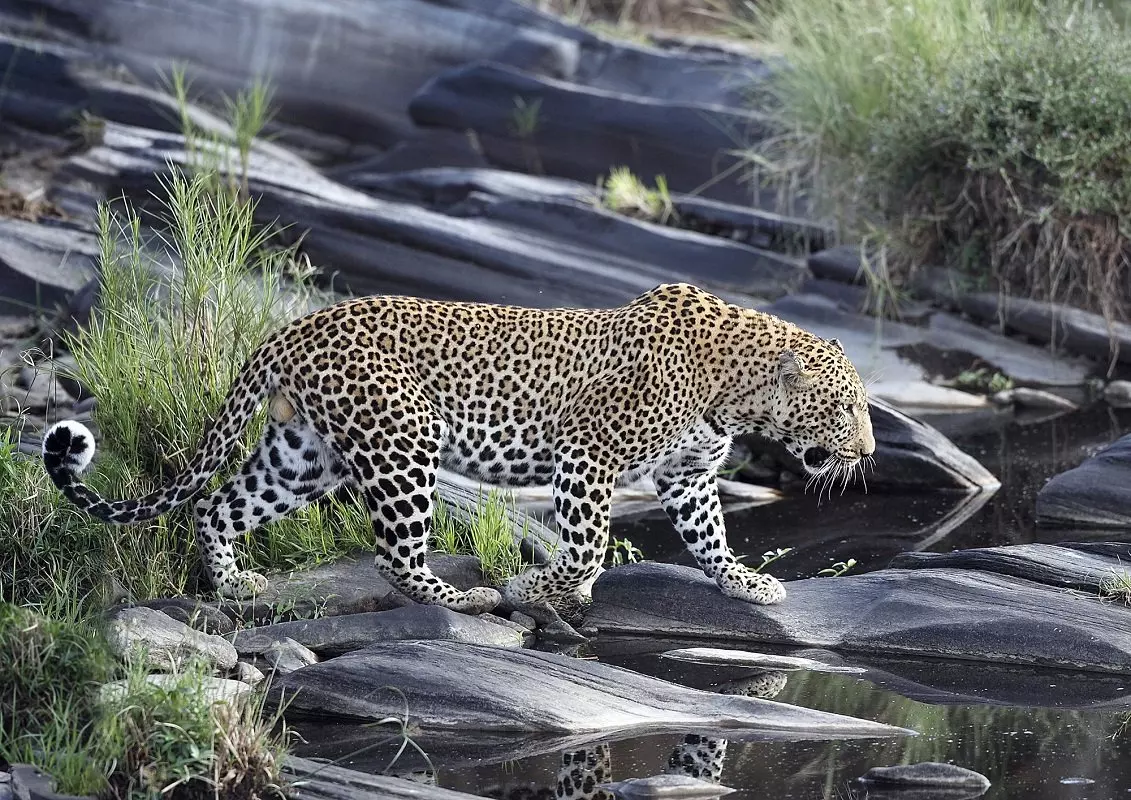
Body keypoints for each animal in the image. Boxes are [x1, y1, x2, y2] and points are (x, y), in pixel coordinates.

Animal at [41, 282, 875, 615]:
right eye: (843, 407)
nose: (867, 451)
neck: (738, 388)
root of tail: (295, 326)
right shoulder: (587, 456)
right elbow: (587, 548)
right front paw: (538, 589)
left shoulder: (689, 477)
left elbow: (710, 539)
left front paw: (745, 583)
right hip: (403, 436)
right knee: (393, 553)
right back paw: (463, 597)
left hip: (304, 455)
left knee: (216, 505)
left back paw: (233, 584)